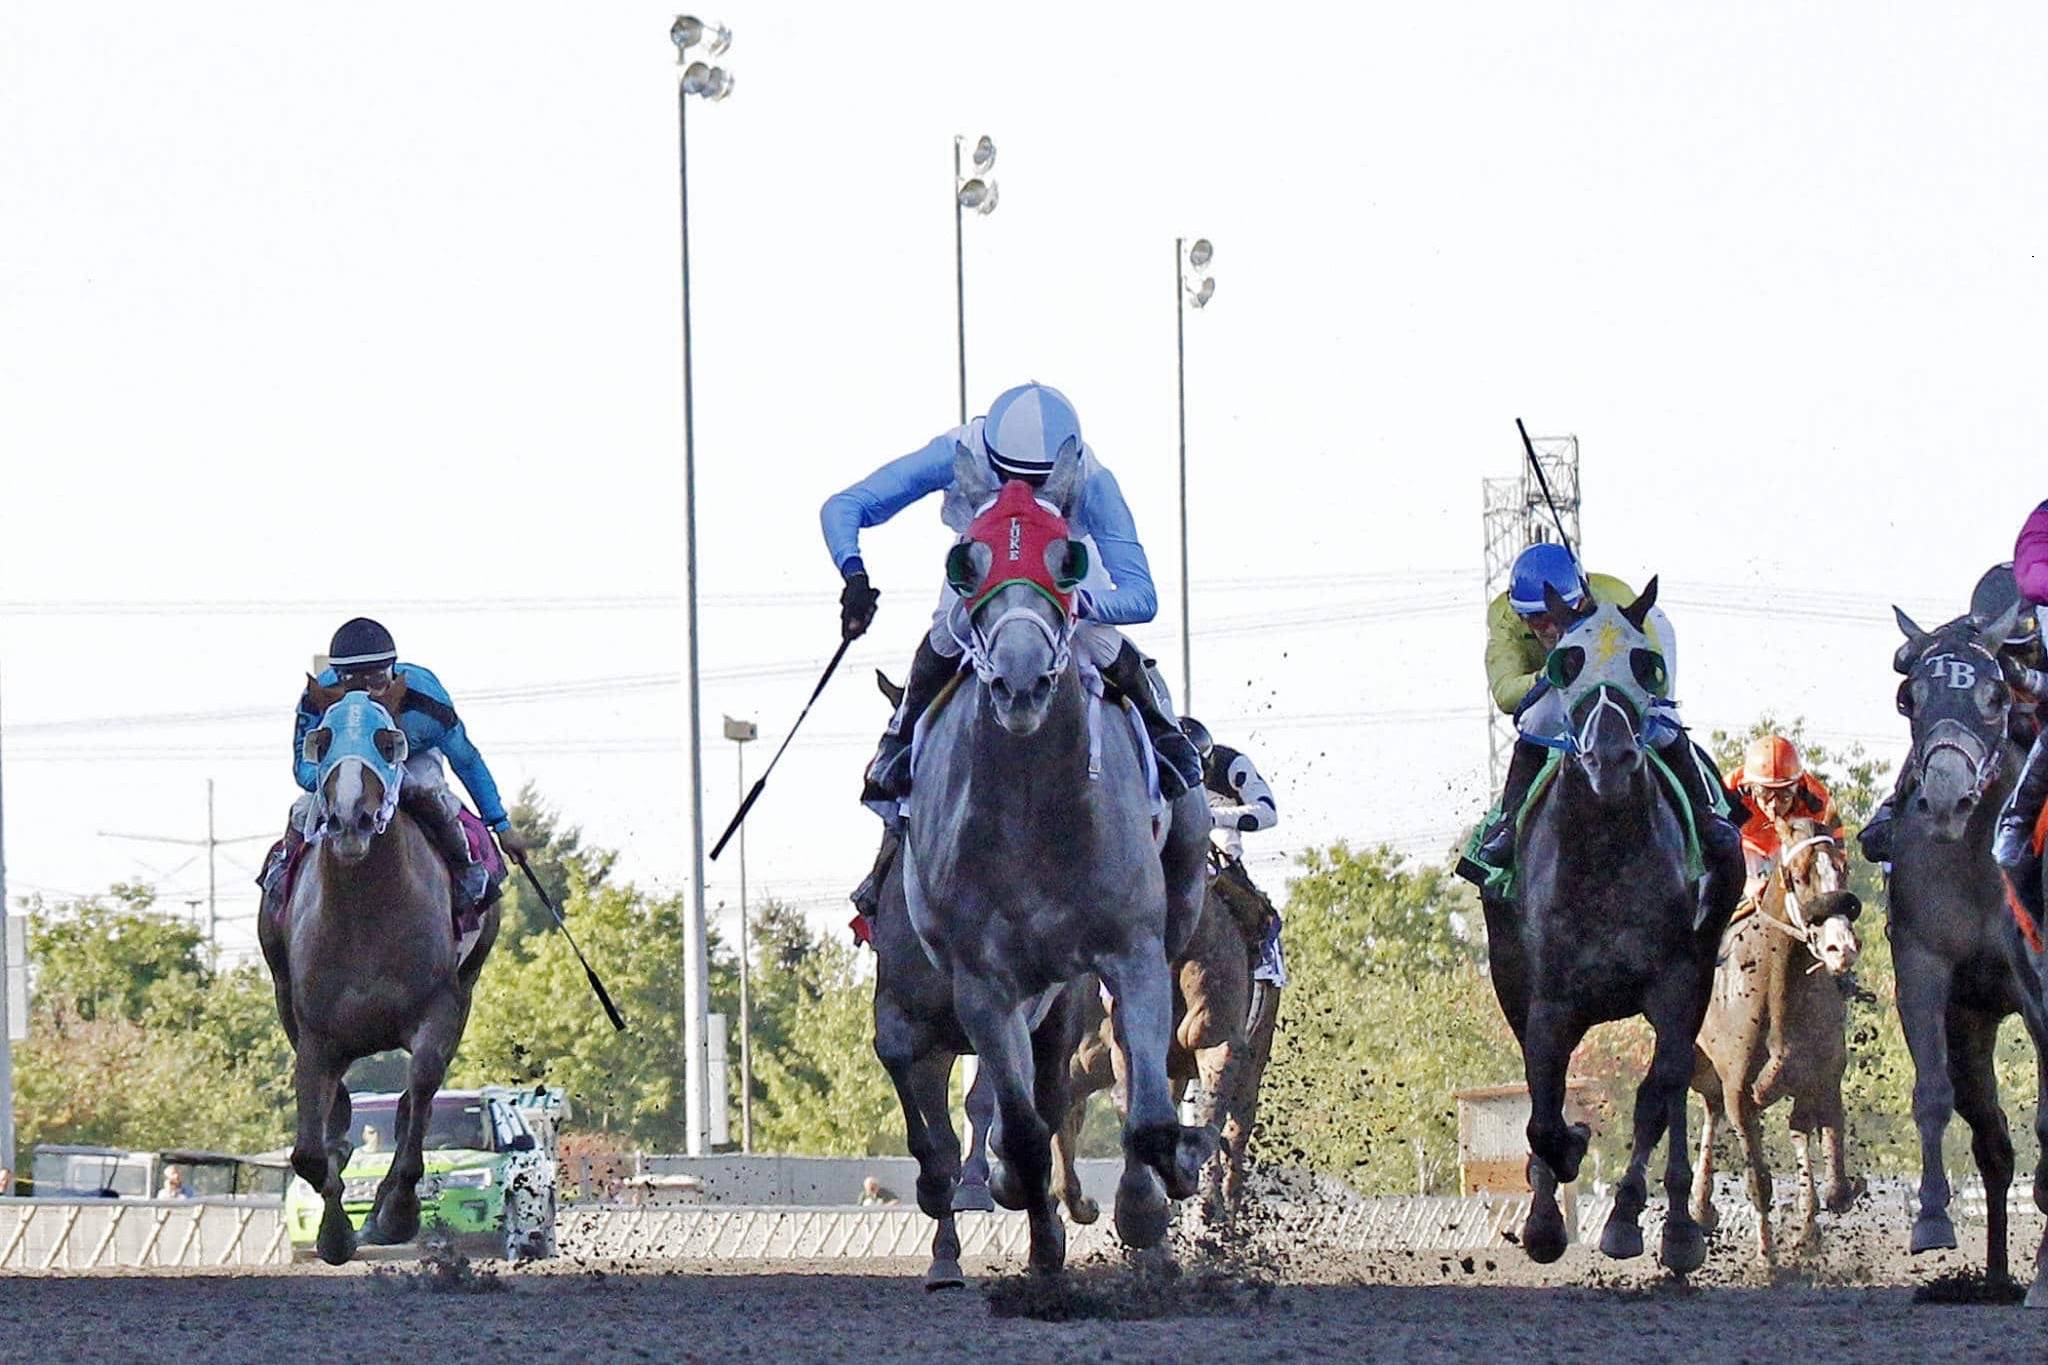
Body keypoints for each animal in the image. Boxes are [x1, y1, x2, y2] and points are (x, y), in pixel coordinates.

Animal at [901, 446, 1212, 1268]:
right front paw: (1023, 1211)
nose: (1019, 680)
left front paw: (1151, 1197)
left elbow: (1147, 1112)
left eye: (1066, 559)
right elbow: (1020, 1126)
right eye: (965, 561)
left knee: (1134, 1060)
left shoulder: (1131, 948)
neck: (1032, 810)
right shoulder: (982, 981)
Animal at [1482, 581, 1736, 1277]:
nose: (1613, 757)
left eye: (1644, 663)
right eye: (1565, 662)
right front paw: (1549, 1205)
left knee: (1672, 1088)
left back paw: (1678, 1225)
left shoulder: (1678, 983)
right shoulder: (1546, 1001)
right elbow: (1543, 1111)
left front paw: (1626, 1219)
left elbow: (1654, 1097)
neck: (1604, 853)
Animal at [1687, 818, 1867, 1268]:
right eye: (1799, 877)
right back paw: (1699, 1209)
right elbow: (1758, 1181)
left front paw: (1808, 1234)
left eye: (1842, 869)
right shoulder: (1739, 1091)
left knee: (1787, 1127)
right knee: (1709, 1110)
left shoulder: (1822, 1075)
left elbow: (1834, 1182)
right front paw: (1767, 1260)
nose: (1842, 948)